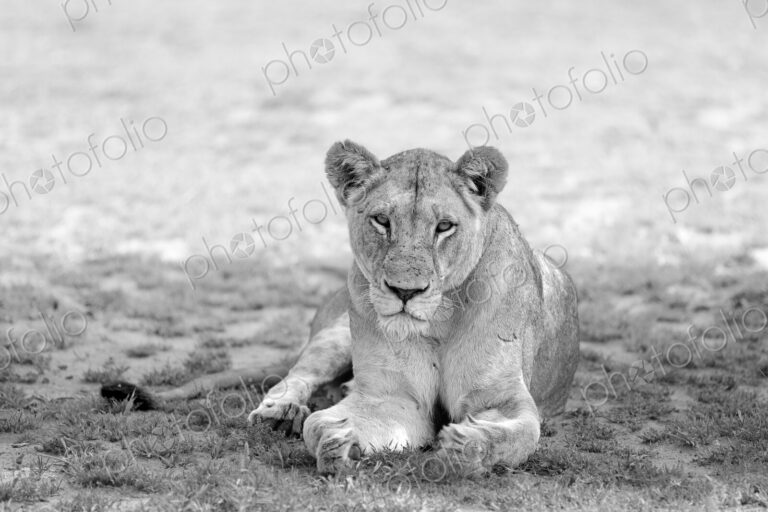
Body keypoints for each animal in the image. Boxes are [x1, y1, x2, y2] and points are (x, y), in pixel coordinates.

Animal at [245, 140, 580, 474]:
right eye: (382, 220)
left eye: (444, 226)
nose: (405, 291)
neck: (440, 320)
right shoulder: (396, 398)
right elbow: (316, 424)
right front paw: (337, 441)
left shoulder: (503, 399)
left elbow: (515, 435)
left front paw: (462, 445)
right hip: (336, 335)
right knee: (299, 375)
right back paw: (280, 413)